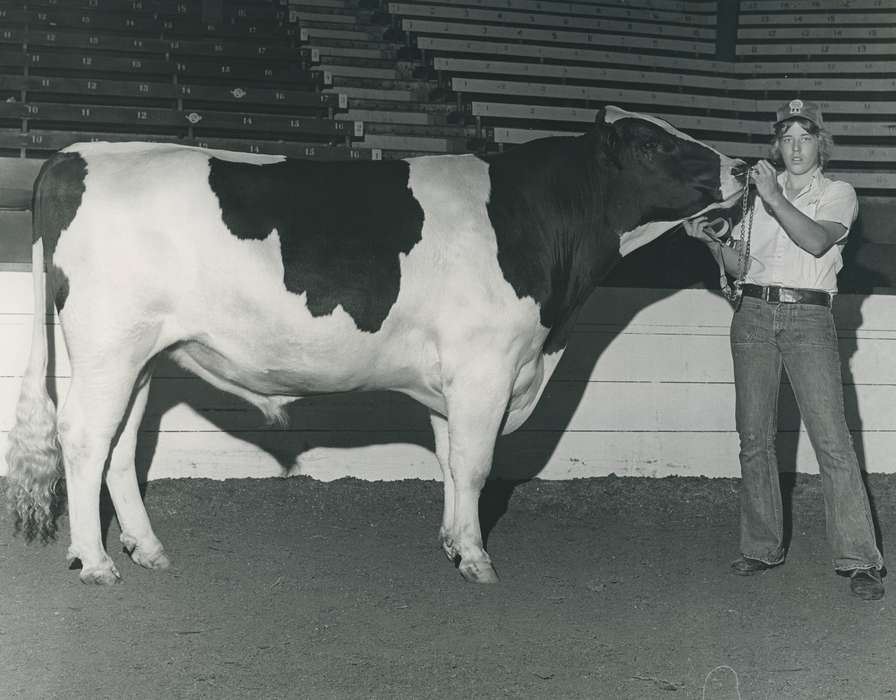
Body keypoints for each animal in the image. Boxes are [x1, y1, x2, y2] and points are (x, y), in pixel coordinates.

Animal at [6, 105, 745, 585]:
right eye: (653, 146)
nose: (742, 166)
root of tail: (78, 153)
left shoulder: (455, 379)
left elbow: (450, 463)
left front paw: (452, 542)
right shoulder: (486, 366)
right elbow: (475, 466)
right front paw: (477, 558)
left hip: (144, 355)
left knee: (121, 444)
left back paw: (147, 547)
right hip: (109, 345)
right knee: (84, 437)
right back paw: (96, 562)